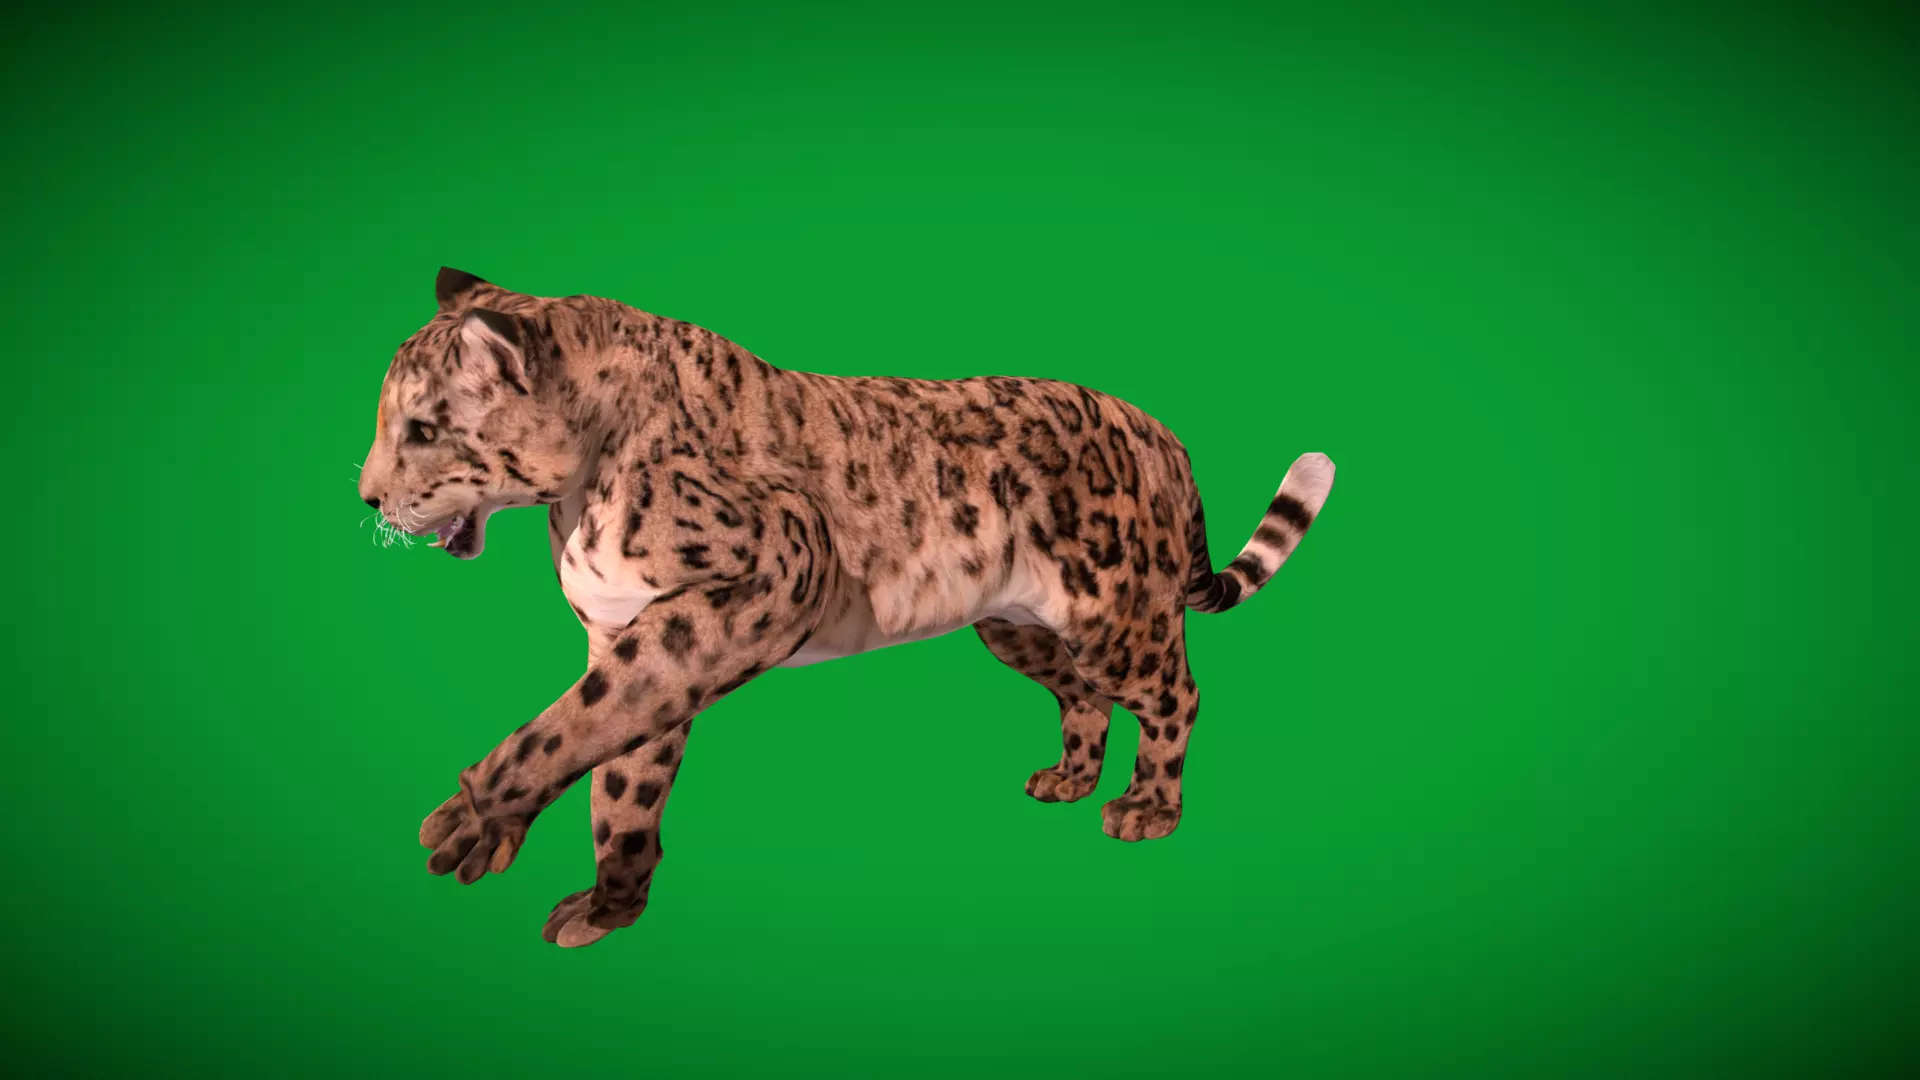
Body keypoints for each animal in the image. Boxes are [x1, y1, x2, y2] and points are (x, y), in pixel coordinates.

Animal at [357, 267, 1336, 948]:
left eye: (423, 428)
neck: (573, 500)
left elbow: (573, 725)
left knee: (1176, 694)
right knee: (1081, 695)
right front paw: (609, 904)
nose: (366, 497)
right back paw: (1068, 778)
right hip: (1016, 629)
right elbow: (623, 773)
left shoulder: (769, 572)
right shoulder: (627, 633)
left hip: (1116, 616)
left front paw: (473, 819)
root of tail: (1159, 433)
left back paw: (1146, 807)